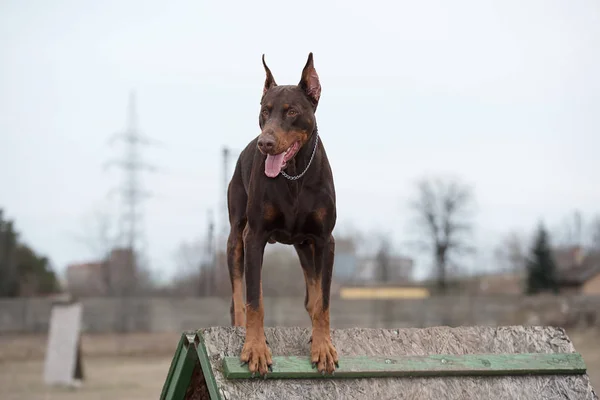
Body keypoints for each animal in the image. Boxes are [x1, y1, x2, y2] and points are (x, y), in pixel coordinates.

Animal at [225, 52, 338, 376]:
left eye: (292, 112)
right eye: (265, 111)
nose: (266, 143)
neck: (294, 175)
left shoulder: (324, 239)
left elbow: (323, 301)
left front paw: (323, 347)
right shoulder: (255, 236)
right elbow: (254, 299)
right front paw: (255, 348)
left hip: (305, 246)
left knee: (312, 297)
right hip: (235, 237)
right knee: (238, 295)